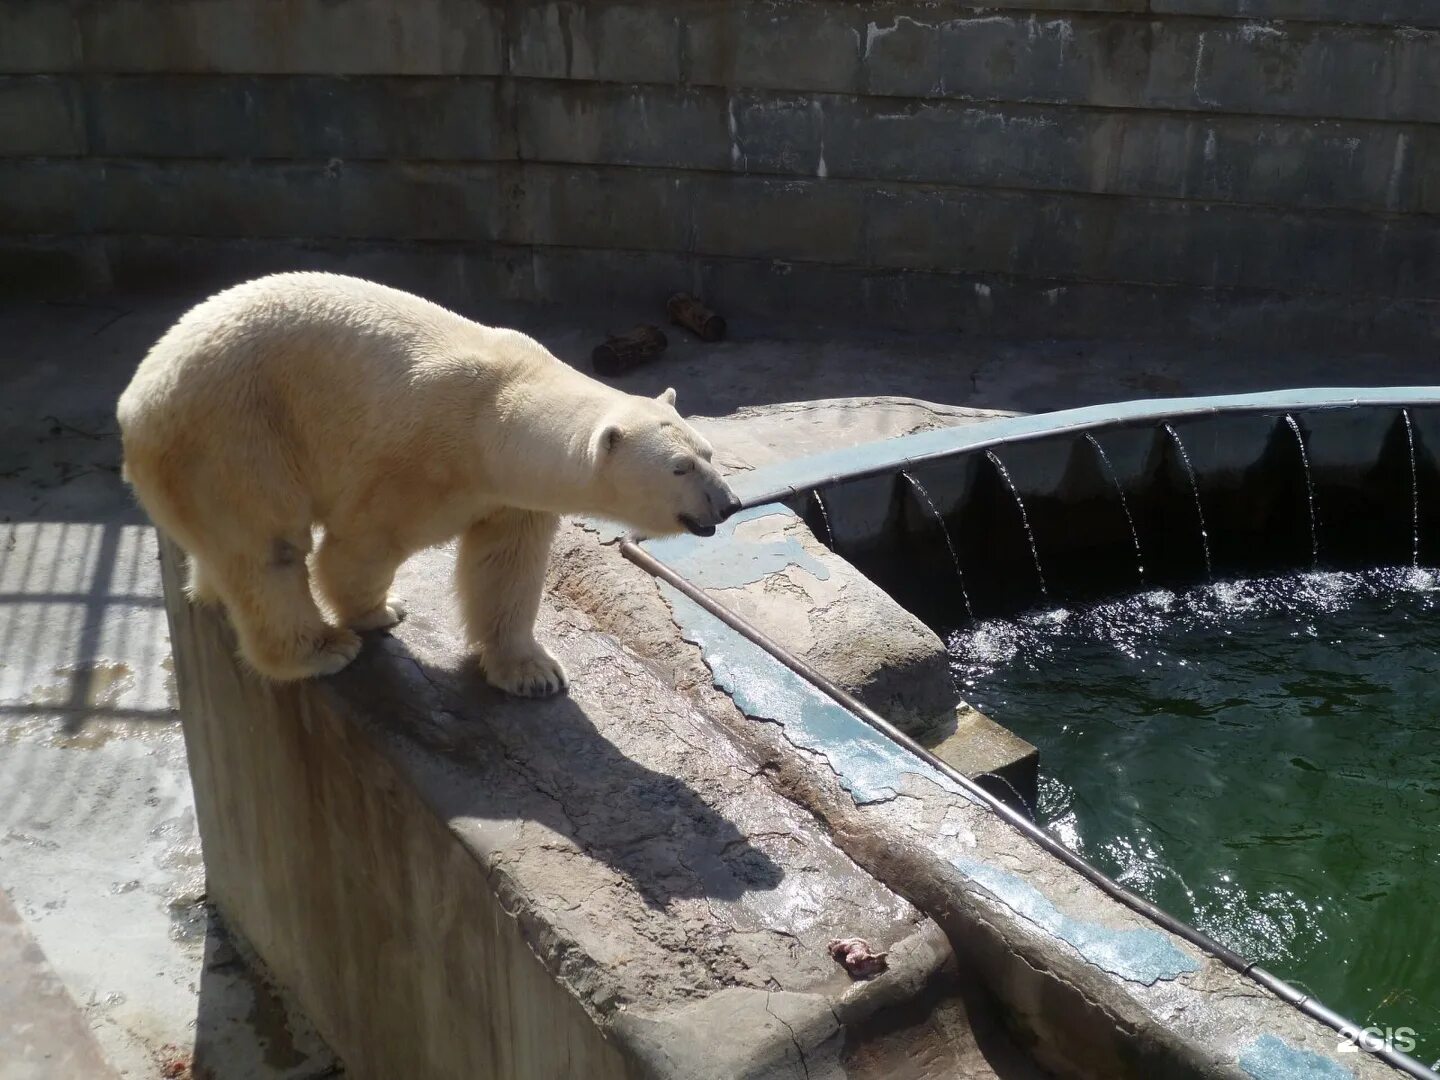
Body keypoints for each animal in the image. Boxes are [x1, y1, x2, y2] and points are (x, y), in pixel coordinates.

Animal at [116, 269, 737, 694]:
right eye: (680, 468)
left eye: (709, 453)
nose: (728, 503)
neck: (497, 412)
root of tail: (135, 400)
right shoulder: (420, 461)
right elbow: (358, 547)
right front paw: (379, 611)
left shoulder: (510, 493)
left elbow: (506, 566)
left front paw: (533, 672)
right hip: (235, 433)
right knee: (267, 548)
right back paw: (321, 649)